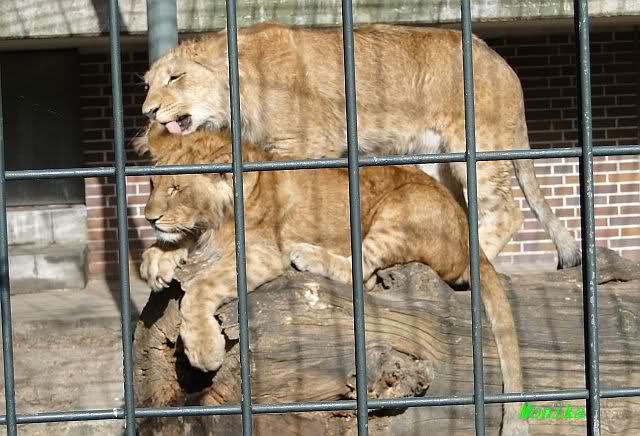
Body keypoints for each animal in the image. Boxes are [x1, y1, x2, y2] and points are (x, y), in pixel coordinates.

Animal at [139, 123, 528, 436]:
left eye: (176, 189)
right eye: (153, 183)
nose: (149, 218)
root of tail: (468, 236)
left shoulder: (261, 255)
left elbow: (200, 288)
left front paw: (204, 349)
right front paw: (156, 260)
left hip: (400, 209)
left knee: (361, 269)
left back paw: (308, 255)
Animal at [140, 22, 580, 270]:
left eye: (175, 77)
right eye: (148, 84)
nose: (148, 110)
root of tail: (504, 65)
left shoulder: (303, 146)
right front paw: (166, 253)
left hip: (479, 148)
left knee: (507, 212)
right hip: (435, 159)